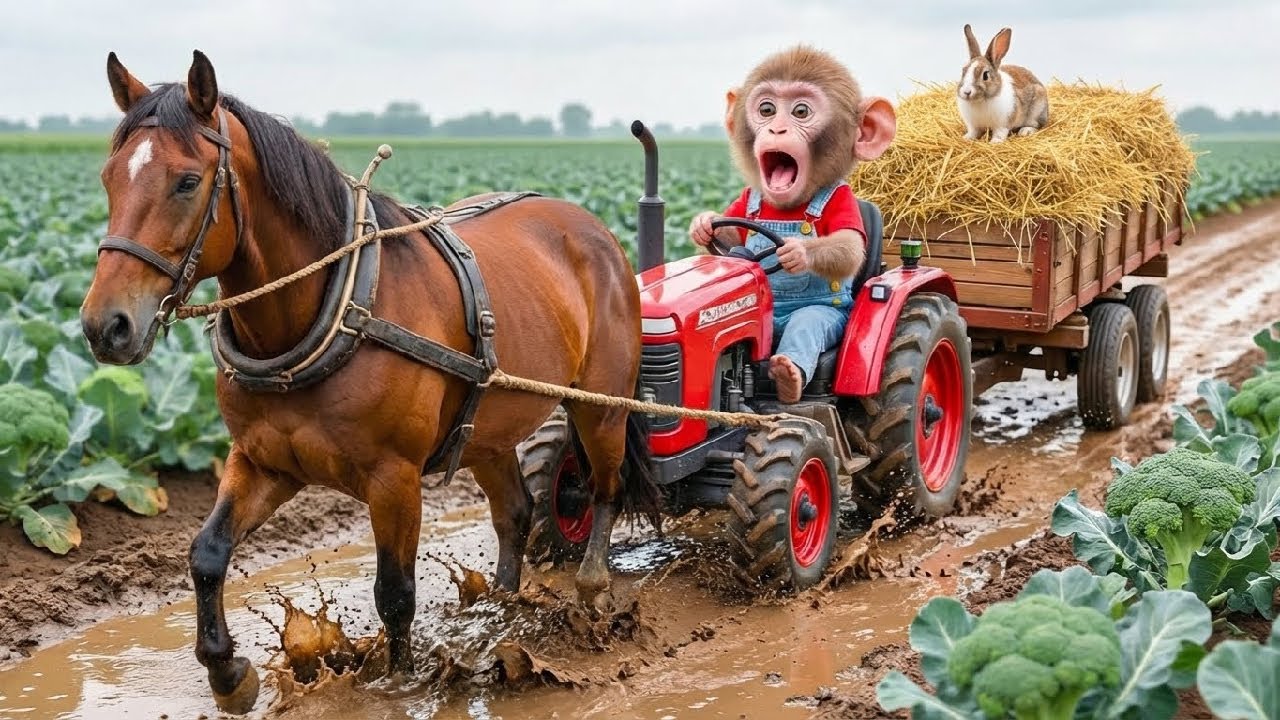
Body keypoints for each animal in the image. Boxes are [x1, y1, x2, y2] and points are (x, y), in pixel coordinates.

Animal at [78, 50, 662, 714]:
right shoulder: (262, 461)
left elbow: (396, 593)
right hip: (486, 426)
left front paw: (397, 683)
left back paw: (591, 591)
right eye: (109, 178)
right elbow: (207, 553)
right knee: (514, 513)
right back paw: (500, 609)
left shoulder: (394, 478)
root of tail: (590, 227)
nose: (105, 325)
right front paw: (228, 673)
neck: (326, 314)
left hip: (601, 407)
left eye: (185, 181)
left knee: (604, 489)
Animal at [689, 44, 896, 404]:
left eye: (801, 111)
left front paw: (797, 252)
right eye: (767, 109)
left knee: (807, 324)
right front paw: (702, 223)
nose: (776, 129)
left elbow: (848, 246)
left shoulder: (844, 202)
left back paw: (788, 375)